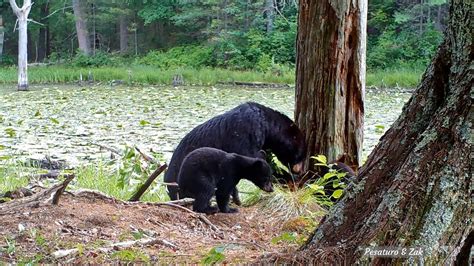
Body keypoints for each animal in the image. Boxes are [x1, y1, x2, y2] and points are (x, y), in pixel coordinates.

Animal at [166, 102, 308, 202]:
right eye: (302, 154)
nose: (299, 170)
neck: (266, 125)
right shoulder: (245, 132)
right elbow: (253, 160)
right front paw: (291, 179)